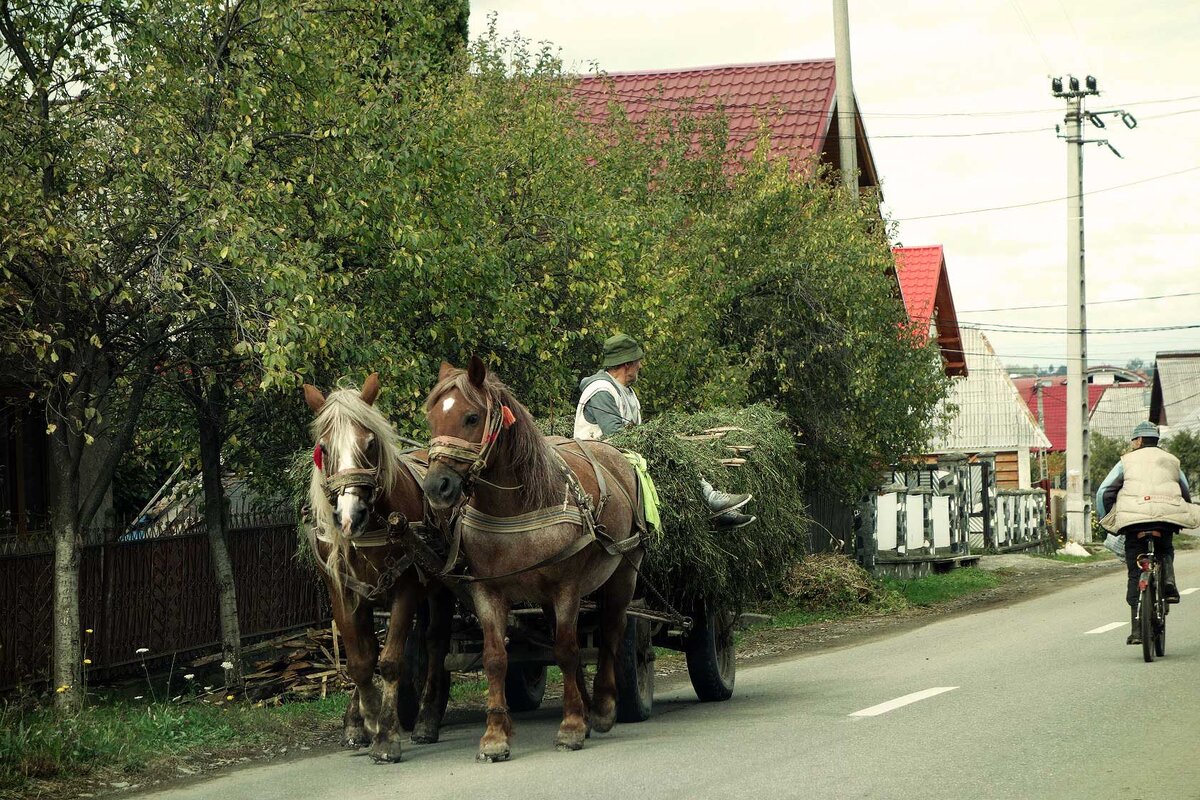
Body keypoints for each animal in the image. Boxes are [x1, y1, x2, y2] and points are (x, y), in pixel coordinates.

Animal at [304, 376, 453, 762]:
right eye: (323, 448)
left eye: (370, 444)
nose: (349, 516)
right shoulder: (343, 591)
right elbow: (360, 660)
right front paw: (364, 721)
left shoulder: (406, 585)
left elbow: (389, 661)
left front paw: (385, 735)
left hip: (441, 587)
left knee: (435, 642)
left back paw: (427, 719)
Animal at [422, 357, 648, 762]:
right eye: (432, 418)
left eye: (471, 417)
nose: (436, 488)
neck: (517, 507)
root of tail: (618, 458)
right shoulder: (489, 593)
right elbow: (496, 657)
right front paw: (495, 736)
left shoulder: (566, 589)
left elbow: (568, 651)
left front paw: (571, 727)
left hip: (624, 573)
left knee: (611, 631)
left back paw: (603, 708)